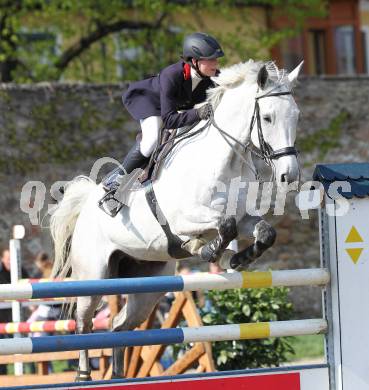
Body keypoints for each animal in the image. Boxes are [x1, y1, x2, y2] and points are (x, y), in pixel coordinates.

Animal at [49, 59, 302, 380]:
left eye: (296, 116)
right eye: (267, 118)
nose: (289, 176)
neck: (223, 160)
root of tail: (85, 208)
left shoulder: (244, 217)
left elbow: (264, 231)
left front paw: (239, 258)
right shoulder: (184, 220)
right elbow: (224, 226)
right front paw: (207, 250)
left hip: (147, 284)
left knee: (120, 326)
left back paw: (118, 374)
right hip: (94, 276)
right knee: (84, 324)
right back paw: (83, 376)